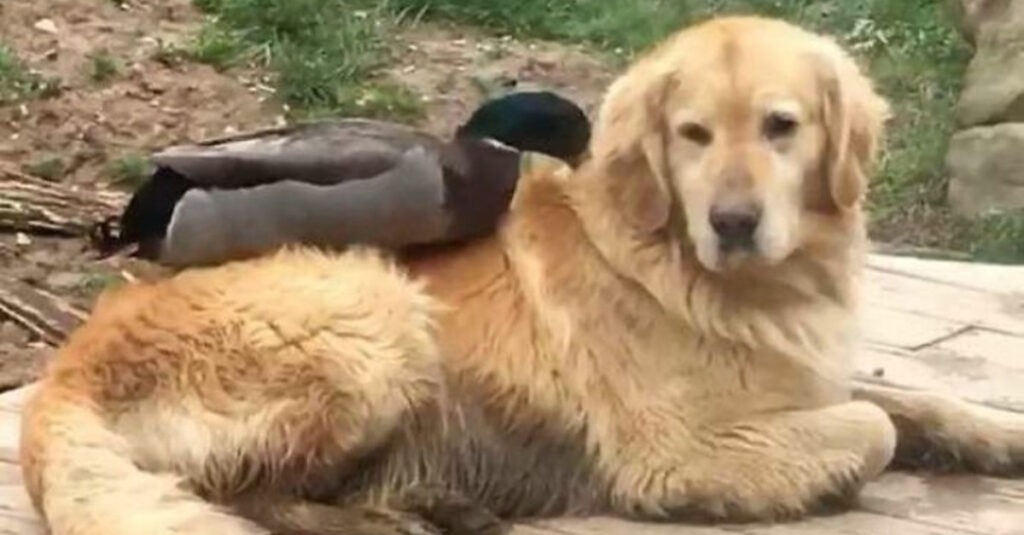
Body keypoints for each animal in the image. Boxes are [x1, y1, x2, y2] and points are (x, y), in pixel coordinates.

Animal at [16, 14, 1024, 532]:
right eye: (692, 134)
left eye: (783, 126)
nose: (734, 224)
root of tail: (66, 365)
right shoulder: (676, 449)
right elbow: (872, 427)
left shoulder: (801, 375)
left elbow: (910, 401)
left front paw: (991, 433)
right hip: (373, 318)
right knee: (248, 491)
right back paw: (404, 515)